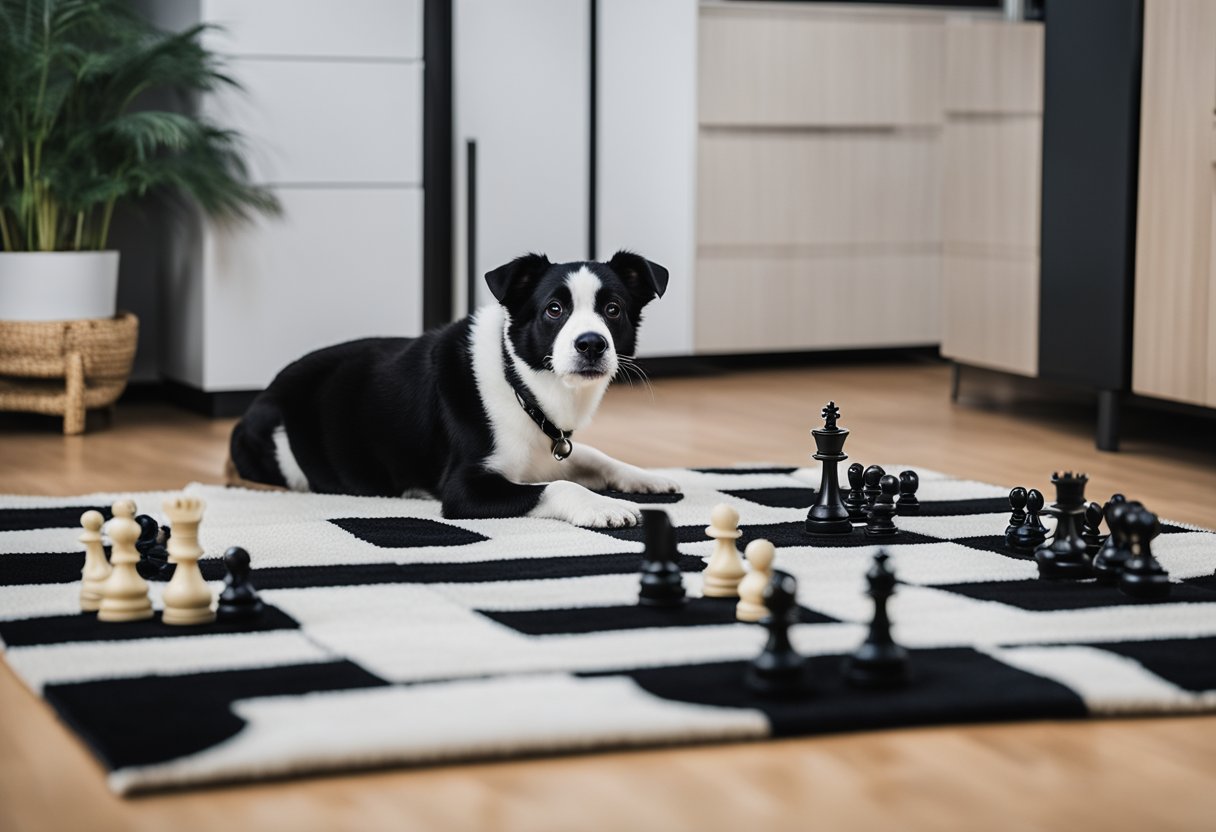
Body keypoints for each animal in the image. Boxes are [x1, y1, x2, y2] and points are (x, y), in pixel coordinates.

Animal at [229, 250, 676, 530]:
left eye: (613, 309)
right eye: (554, 309)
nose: (591, 344)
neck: (520, 382)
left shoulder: (552, 446)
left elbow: (591, 455)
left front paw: (643, 477)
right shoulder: (464, 490)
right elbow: (560, 484)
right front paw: (603, 506)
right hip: (277, 435)